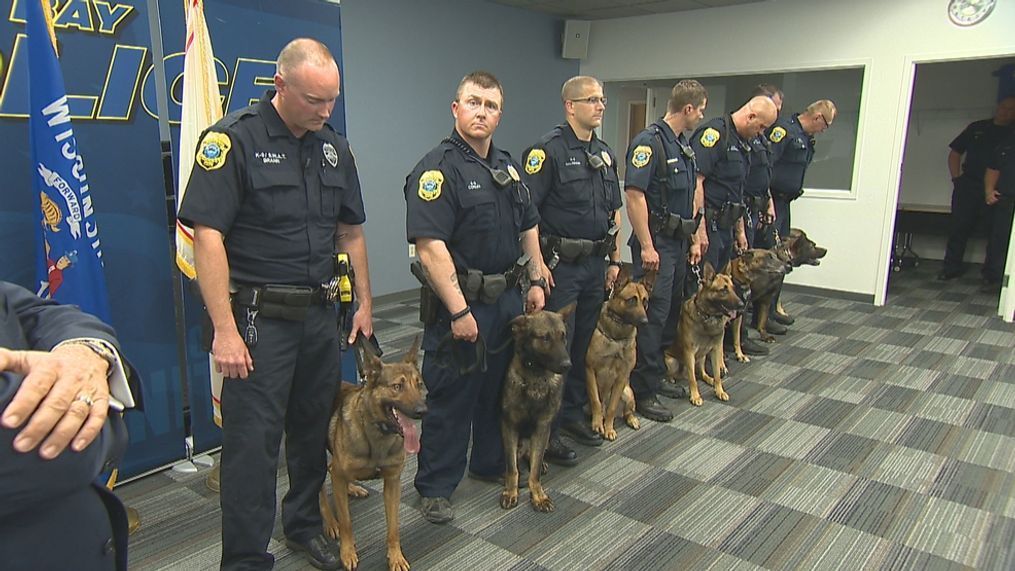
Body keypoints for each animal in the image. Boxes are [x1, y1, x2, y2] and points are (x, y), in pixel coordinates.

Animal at [320, 336, 424, 571]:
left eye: (419, 384)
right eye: (397, 386)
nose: (423, 411)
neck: (377, 433)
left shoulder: (393, 482)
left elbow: (393, 527)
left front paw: (396, 557)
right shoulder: (339, 474)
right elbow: (347, 522)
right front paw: (347, 552)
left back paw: (352, 488)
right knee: (320, 489)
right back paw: (330, 522)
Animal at [497, 304, 576, 513]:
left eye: (563, 336)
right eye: (545, 338)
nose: (567, 365)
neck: (536, 377)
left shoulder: (542, 427)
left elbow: (535, 471)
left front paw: (539, 495)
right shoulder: (509, 426)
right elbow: (512, 467)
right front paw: (511, 491)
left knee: (534, 457)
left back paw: (542, 464)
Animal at [584, 267, 653, 442]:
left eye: (645, 301)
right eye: (631, 300)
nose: (645, 322)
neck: (616, 337)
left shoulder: (622, 377)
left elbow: (612, 408)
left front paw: (608, 429)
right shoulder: (590, 369)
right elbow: (596, 401)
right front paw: (597, 424)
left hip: (627, 393)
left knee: (625, 411)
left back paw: (632, 419)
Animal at [665, 261, 747, 405]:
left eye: (733, 288)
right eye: (723, 290)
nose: (742, 305)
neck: (708, 316)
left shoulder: (715, 350)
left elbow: (718, 375)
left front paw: (719, 391)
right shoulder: (689, 353)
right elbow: (692, 379)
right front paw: (695, 396)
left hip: (702, 356)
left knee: (702, 373)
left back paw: (709, 379)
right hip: (672, 362)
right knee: (685, 374)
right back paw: (671, 380)